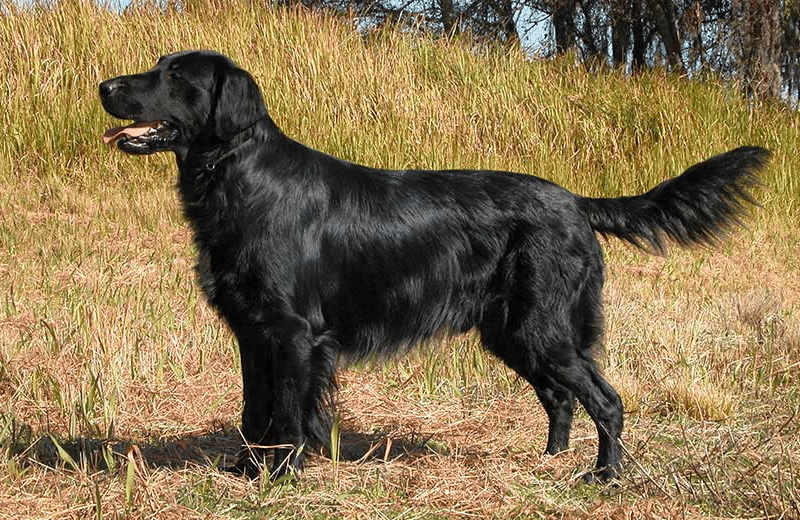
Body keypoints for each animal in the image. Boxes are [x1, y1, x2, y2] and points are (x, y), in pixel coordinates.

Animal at [100, 50, 768, 482]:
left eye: (175, 77)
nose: (104, 86)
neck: (240, 179)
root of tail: (578, 202)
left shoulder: (292, 333)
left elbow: (287, 412)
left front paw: (281, 475)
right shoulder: (253, 332)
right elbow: (253, 409)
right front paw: (244, 469)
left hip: (542, 327)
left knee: (606, 399)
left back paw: (602, 476)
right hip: (511, 331)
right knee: (561, 397)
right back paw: (551, 460)